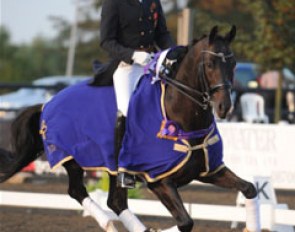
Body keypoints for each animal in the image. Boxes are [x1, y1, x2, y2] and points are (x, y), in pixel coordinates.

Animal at [0, 25, 260, 232]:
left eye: (233, 63)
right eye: (209, 64)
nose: (224, 106)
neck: (179, 118)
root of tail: (47, 104)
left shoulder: (210, 171)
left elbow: (250, 189)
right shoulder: (159, 180)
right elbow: (186, 222)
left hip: (113, 170)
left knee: (115, 202)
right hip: (71, 159)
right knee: (77, 191)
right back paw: (107, 223)